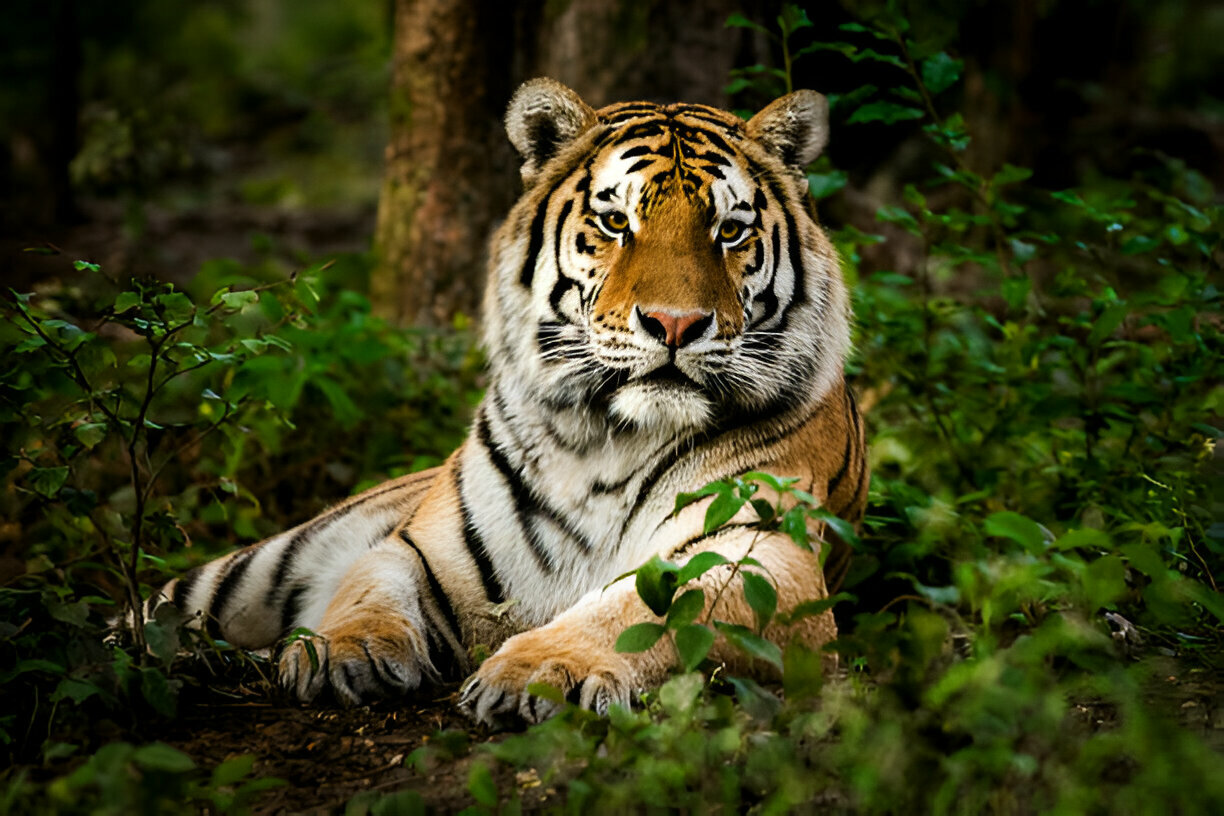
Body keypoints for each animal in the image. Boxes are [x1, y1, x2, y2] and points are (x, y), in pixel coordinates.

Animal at [139, 78, 868, 724]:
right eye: (615, 222)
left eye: (729, 231)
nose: (675, 324)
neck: (609, 440)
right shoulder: (423, 547)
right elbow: (368, 586)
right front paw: (338, 651)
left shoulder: (762, 555)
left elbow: (639, 610)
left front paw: (542, 672)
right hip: (252, 569)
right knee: (155, 609)